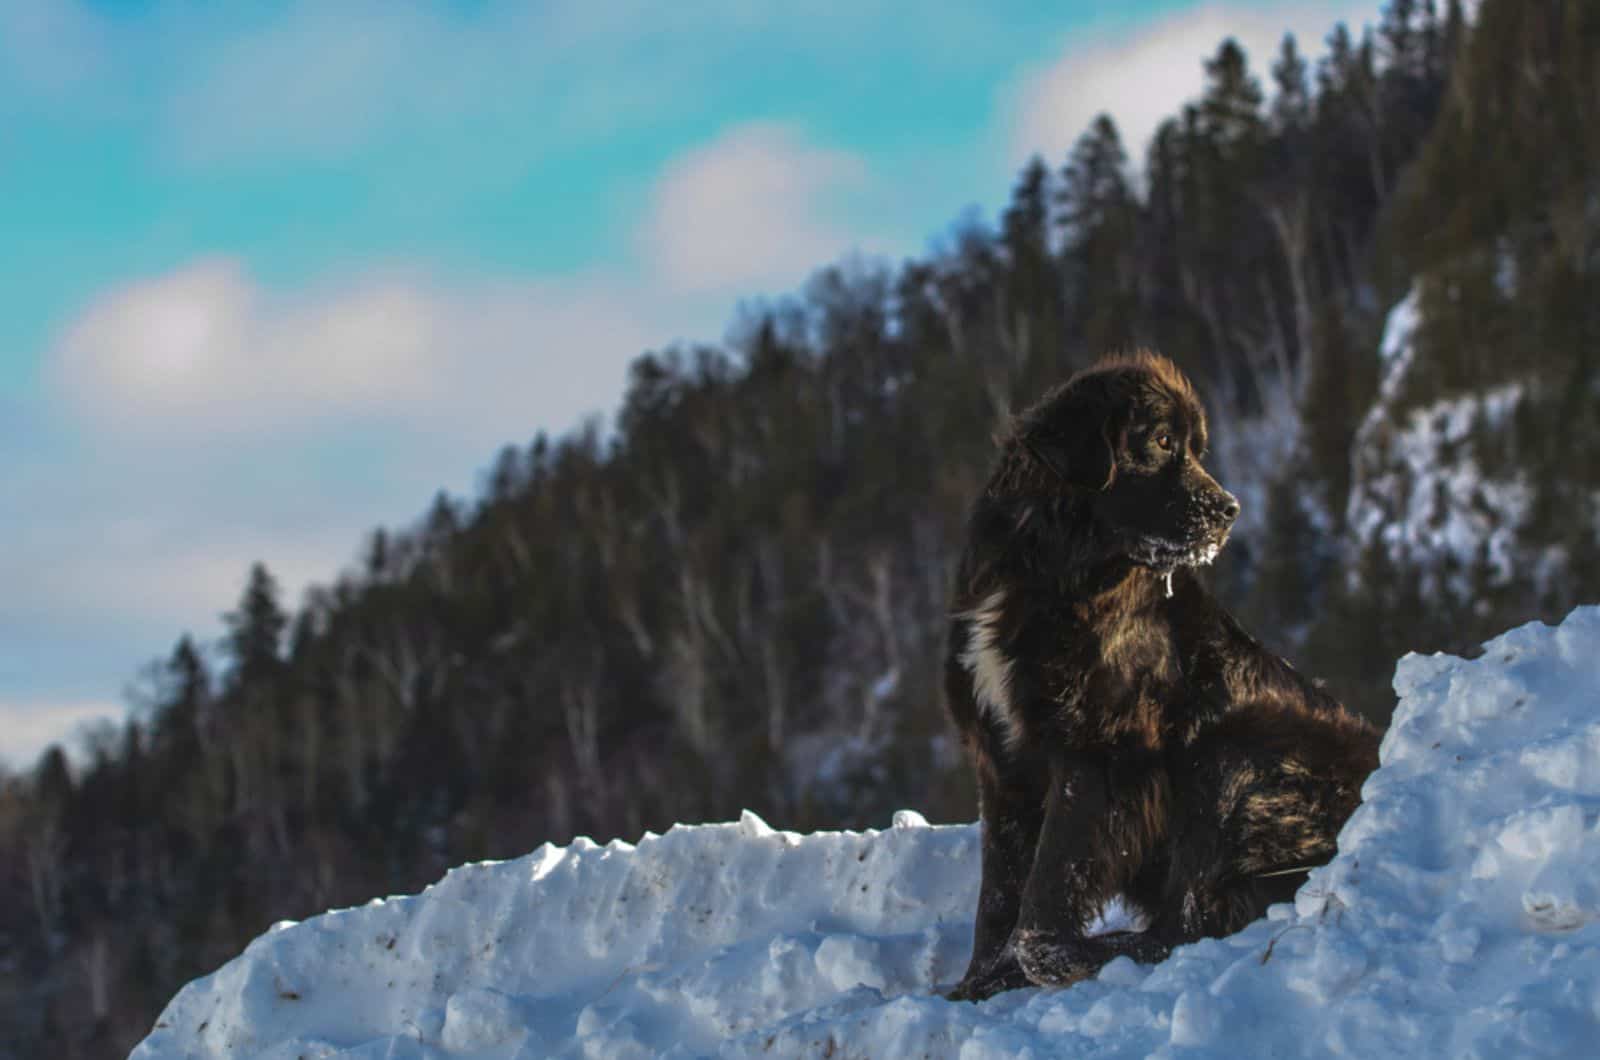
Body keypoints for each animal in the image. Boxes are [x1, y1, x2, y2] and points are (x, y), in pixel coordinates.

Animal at [940, 355, 1382, 1005]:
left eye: (1197, 448)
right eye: (1164, 442)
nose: (1230, 510)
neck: (1047, 570)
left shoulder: (1104, 751)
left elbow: (1046, 893)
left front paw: (1039, 961)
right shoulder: (1003, 759)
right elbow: (998, 892)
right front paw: (978, 982)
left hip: (1237, 749)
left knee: (1188, 922)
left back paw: (1106, 950)